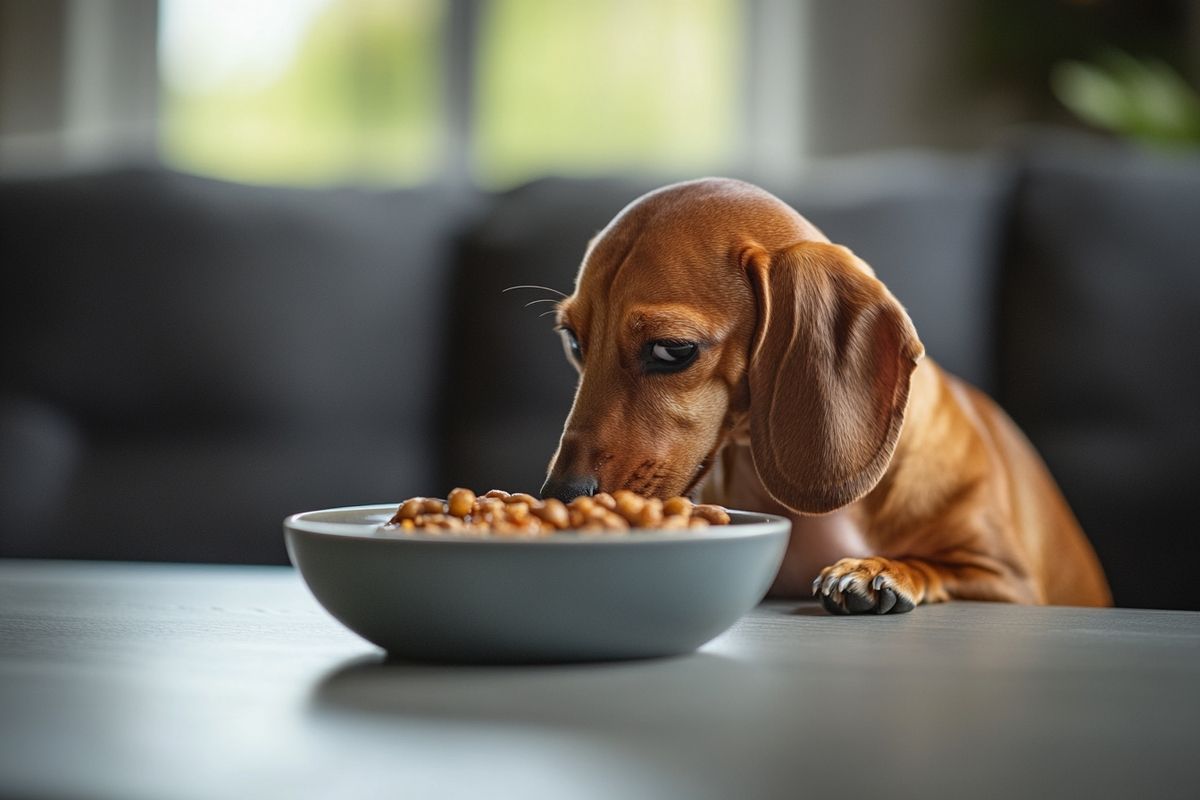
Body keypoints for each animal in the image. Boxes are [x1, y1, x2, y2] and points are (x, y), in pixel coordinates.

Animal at [540, 178, 1108, 614]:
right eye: (573, 342)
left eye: (672, 350)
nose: (559, 496)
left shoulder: (1007, 580)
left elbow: (938, 565)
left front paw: (875, 570)